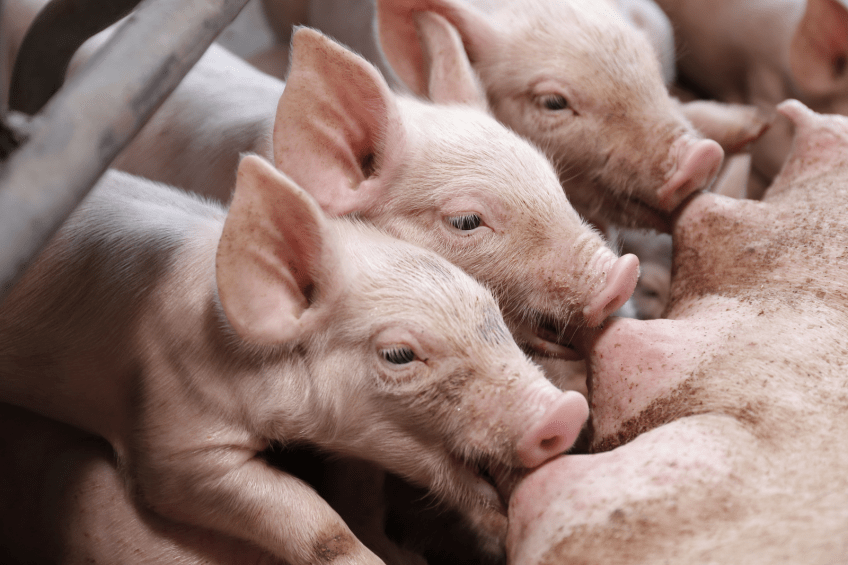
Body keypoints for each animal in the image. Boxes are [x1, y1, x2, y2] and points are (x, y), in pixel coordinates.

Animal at [0, 153, 590, 563]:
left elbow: (361, 496)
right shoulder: (173, 433)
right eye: (399, 354)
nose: (566, 411)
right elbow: (317, 525)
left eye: (492, 311)